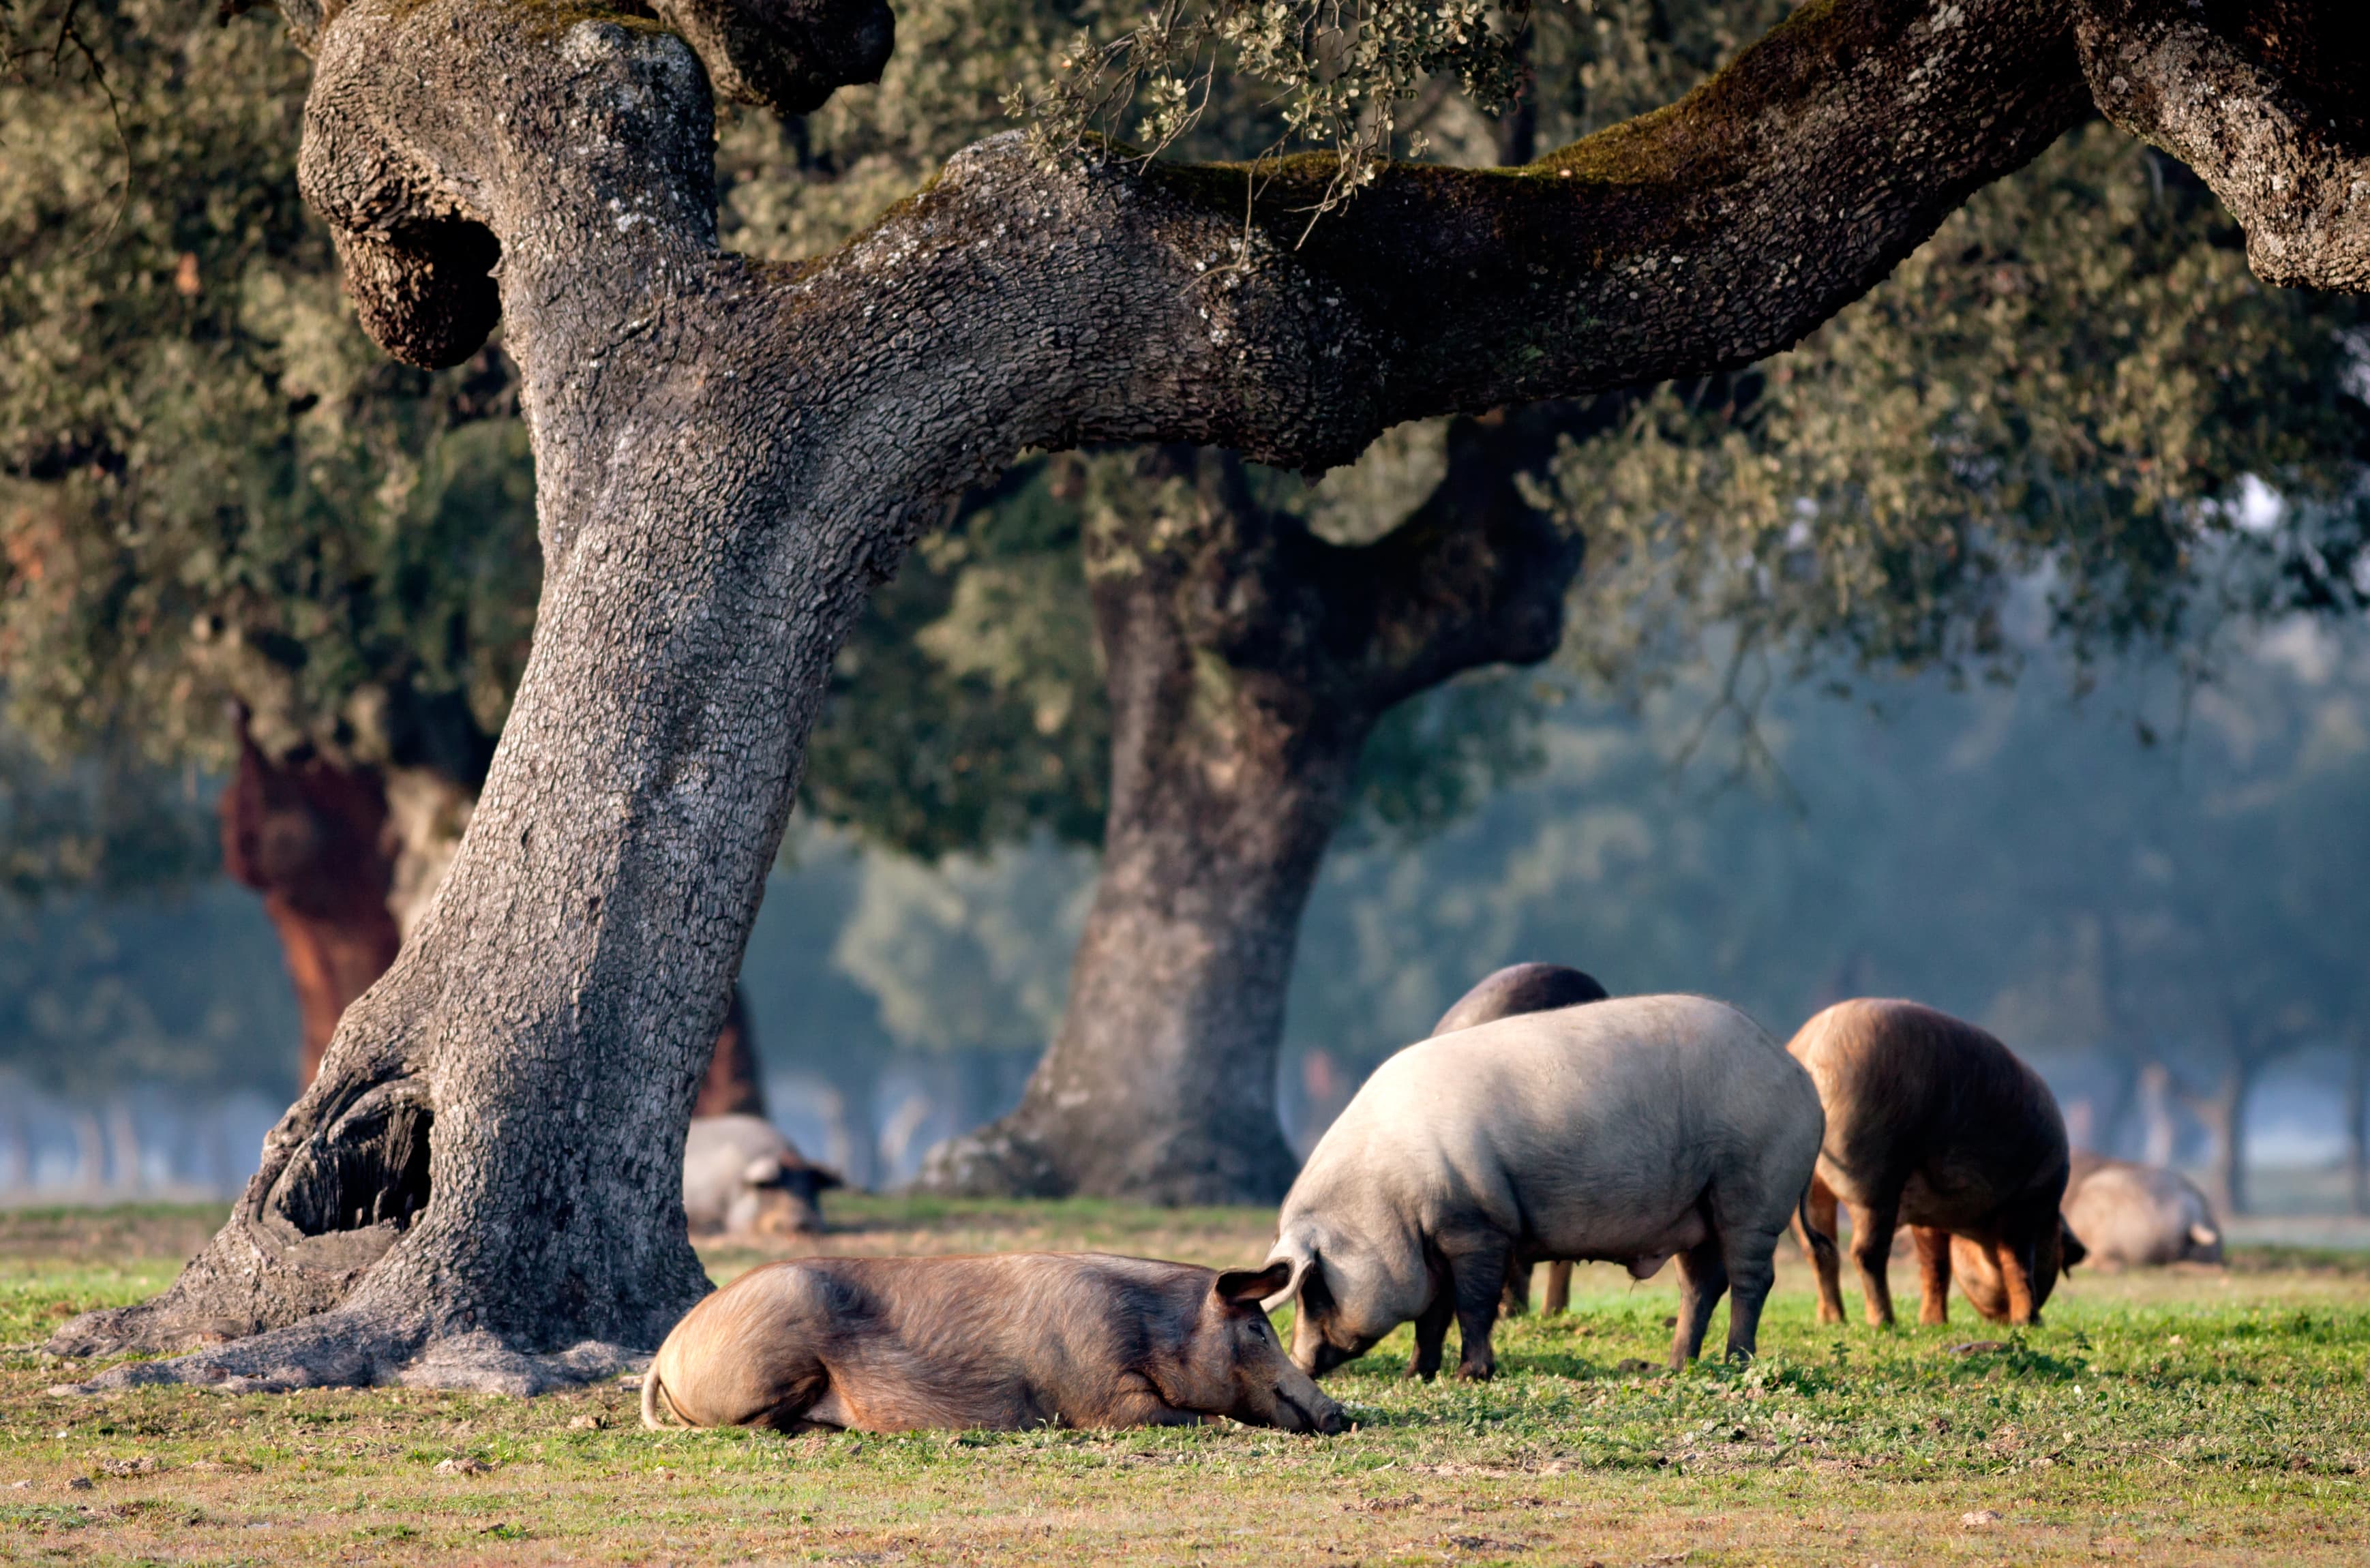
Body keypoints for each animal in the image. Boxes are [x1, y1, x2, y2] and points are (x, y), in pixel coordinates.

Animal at [644, 1250, 1355, 1440]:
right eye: (1256, 1330)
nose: (1342, 1415)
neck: (1153, 1329)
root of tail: (668, 1349)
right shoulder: (1097, 1394)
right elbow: (1181, 1416)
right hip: (771, 1364)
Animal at [1270, 999, 1820, 1383]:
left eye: (1315, 1288)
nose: (1299, 1363)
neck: (1386, 1196)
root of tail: (1802, 1079)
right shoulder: (1434, 1244)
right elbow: (1432, 1313)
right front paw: (1415, 1376)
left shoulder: (1478, 1226)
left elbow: (1473, 1304)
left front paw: (1470, 1376)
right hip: (1695, 1210)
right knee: (1701, 1284)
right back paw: (1677, 1367)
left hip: (1753, 1189)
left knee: (1752, 1279)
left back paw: (1736, 1363)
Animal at [1782, 1009, 2085, 1326]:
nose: (2000, 1320)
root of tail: (1809, 1051)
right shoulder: (2027, 1201)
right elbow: (2018, 1263)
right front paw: (2030, 1323)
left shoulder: (1929, 1216)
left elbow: (1935, 1264)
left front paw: (1932, 1323)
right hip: (1873, 1181)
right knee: (1865, 1253)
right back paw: (1885, 1322)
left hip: (1813, 1187)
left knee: (1821, 1250)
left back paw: (1833, 1320)